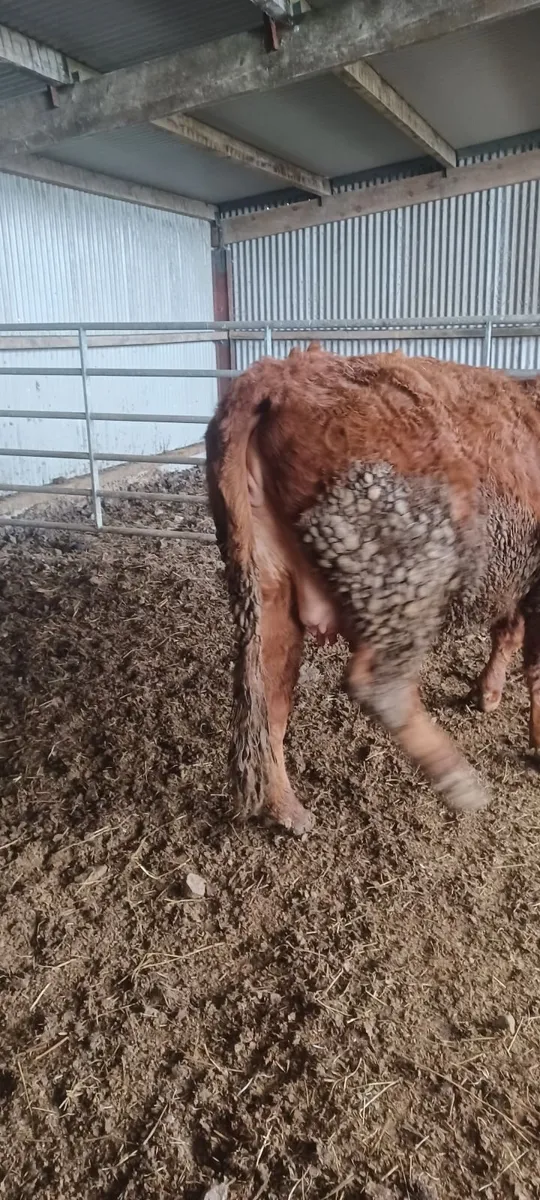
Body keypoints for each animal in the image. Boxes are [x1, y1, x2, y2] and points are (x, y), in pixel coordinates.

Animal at [205, 346, 540, 835]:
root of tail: (278, 373)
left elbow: (509, 634)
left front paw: (488, 694)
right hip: (410, 566)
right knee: (379, 685)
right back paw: (459, 781)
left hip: (268, 586)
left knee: (269, 698)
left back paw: (286, 809)